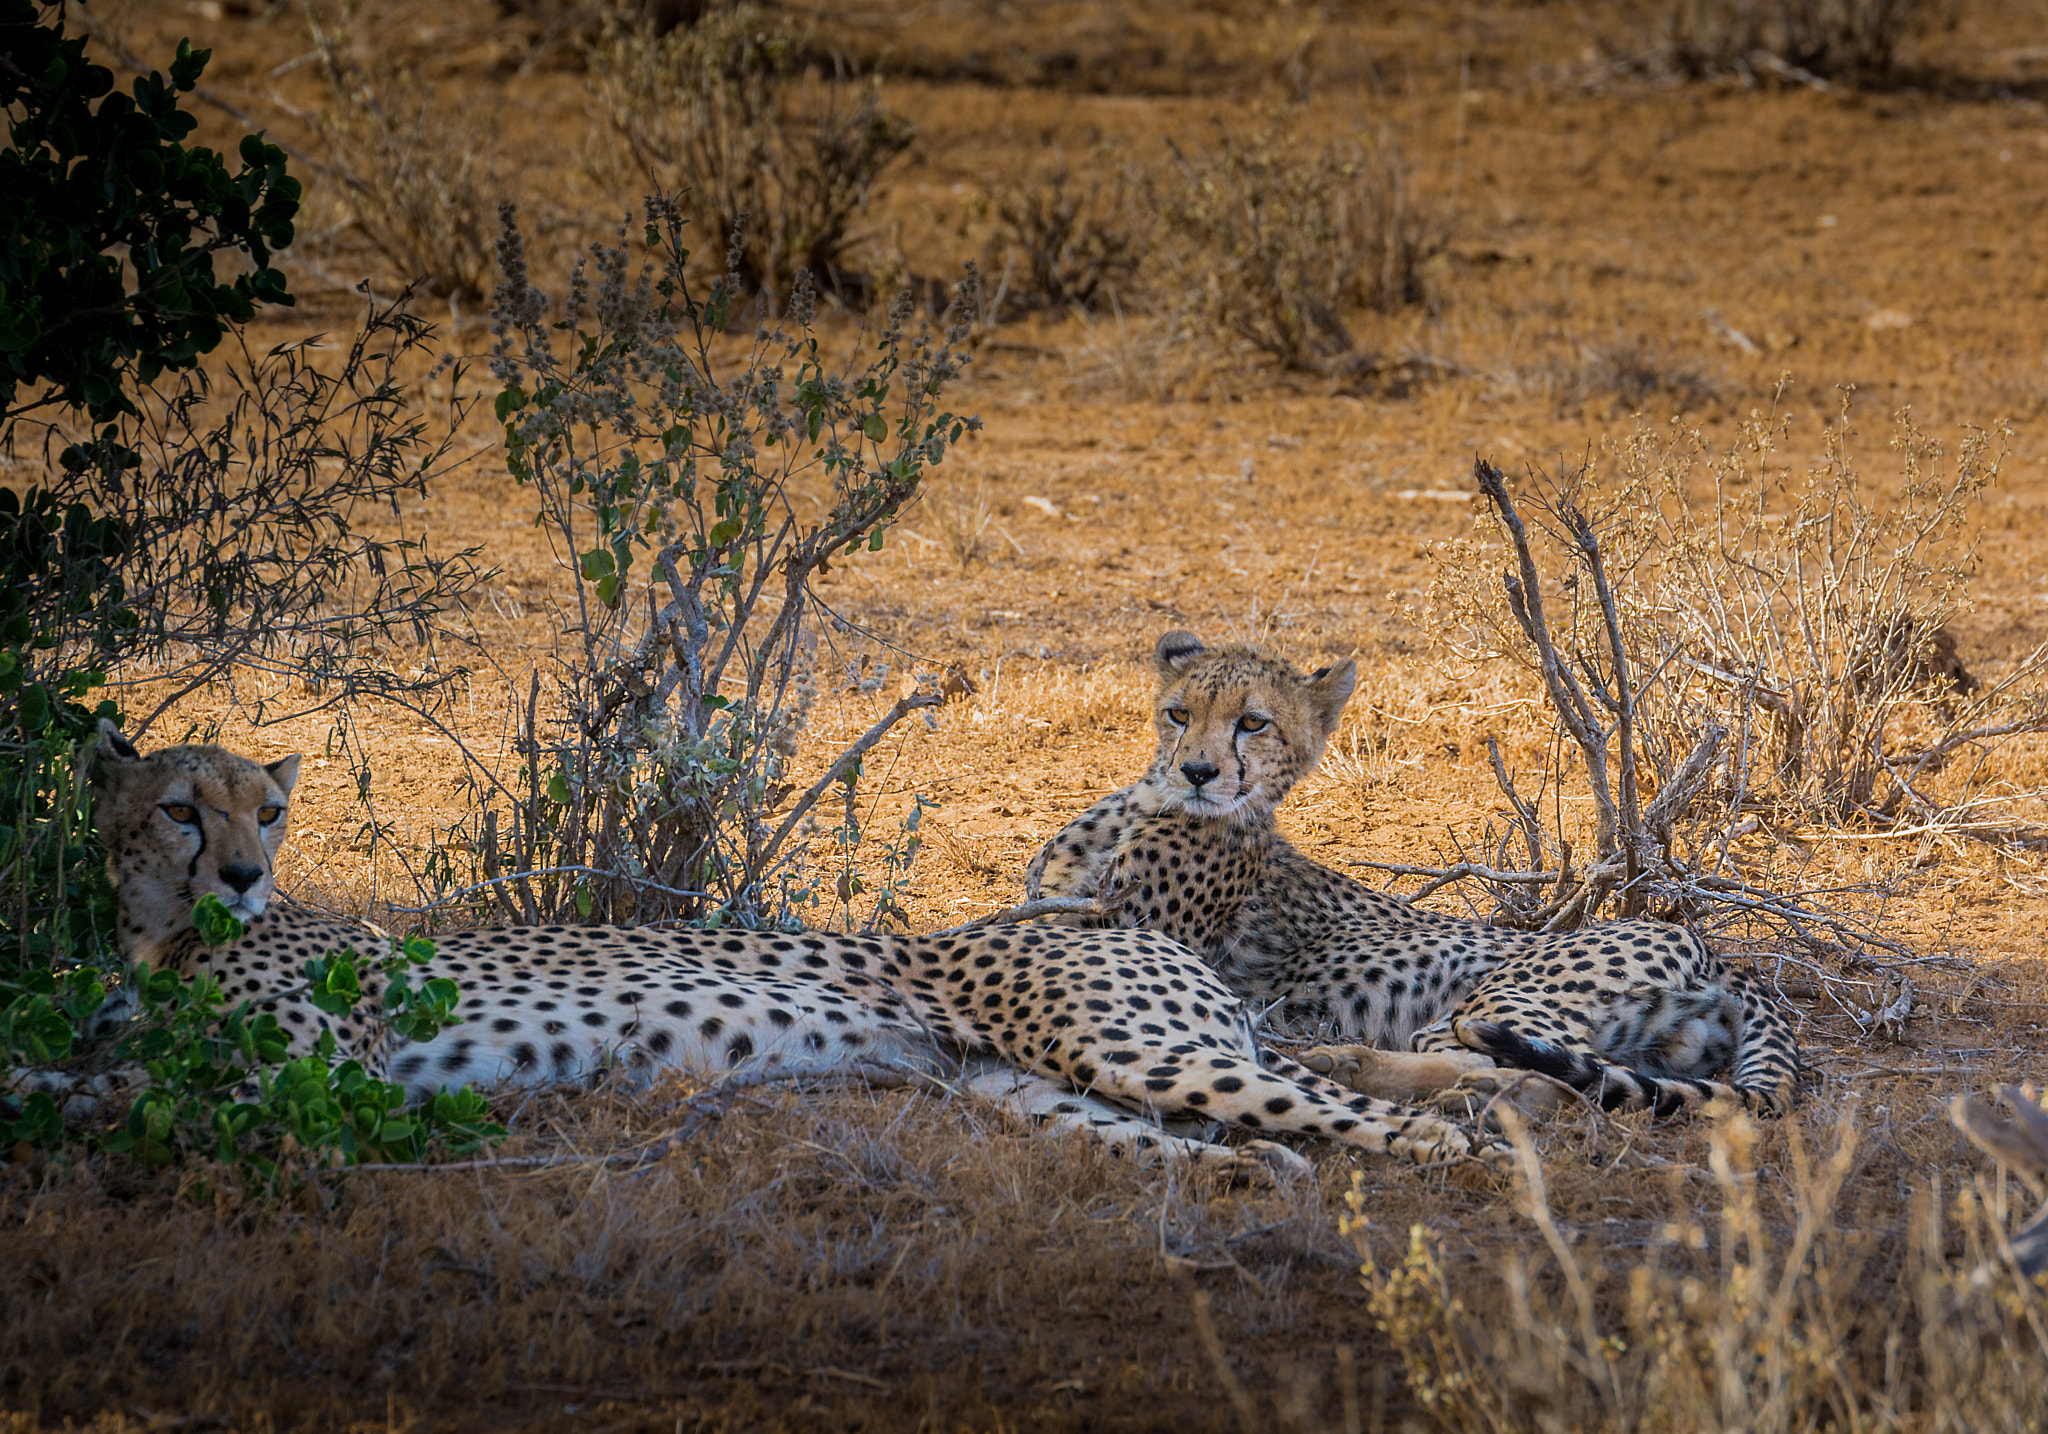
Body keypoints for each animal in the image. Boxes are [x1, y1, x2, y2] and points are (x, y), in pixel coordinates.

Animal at [88, 717, 1515, 1179]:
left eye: (269, 811)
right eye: (182, 808)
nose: (245, 874)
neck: (160, 936)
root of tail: (1100, 915)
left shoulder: (317, 1073)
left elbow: (147, 1101)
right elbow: (96, 1078)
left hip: (1133, 1045)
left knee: (1380, 1116)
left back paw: (1480, 1161)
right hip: (1023, 1090)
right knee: (1234, 1146)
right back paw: (1248, 1182)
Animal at [1024, 635, 1794, 1122]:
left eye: (1253, 723)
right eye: (1179, 713)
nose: (1197, 771)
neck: (1149, 805)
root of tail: (1713, 949)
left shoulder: (1129, 936)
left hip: (1491, 1005)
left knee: (1526, 1074)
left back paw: (1373, 1073)